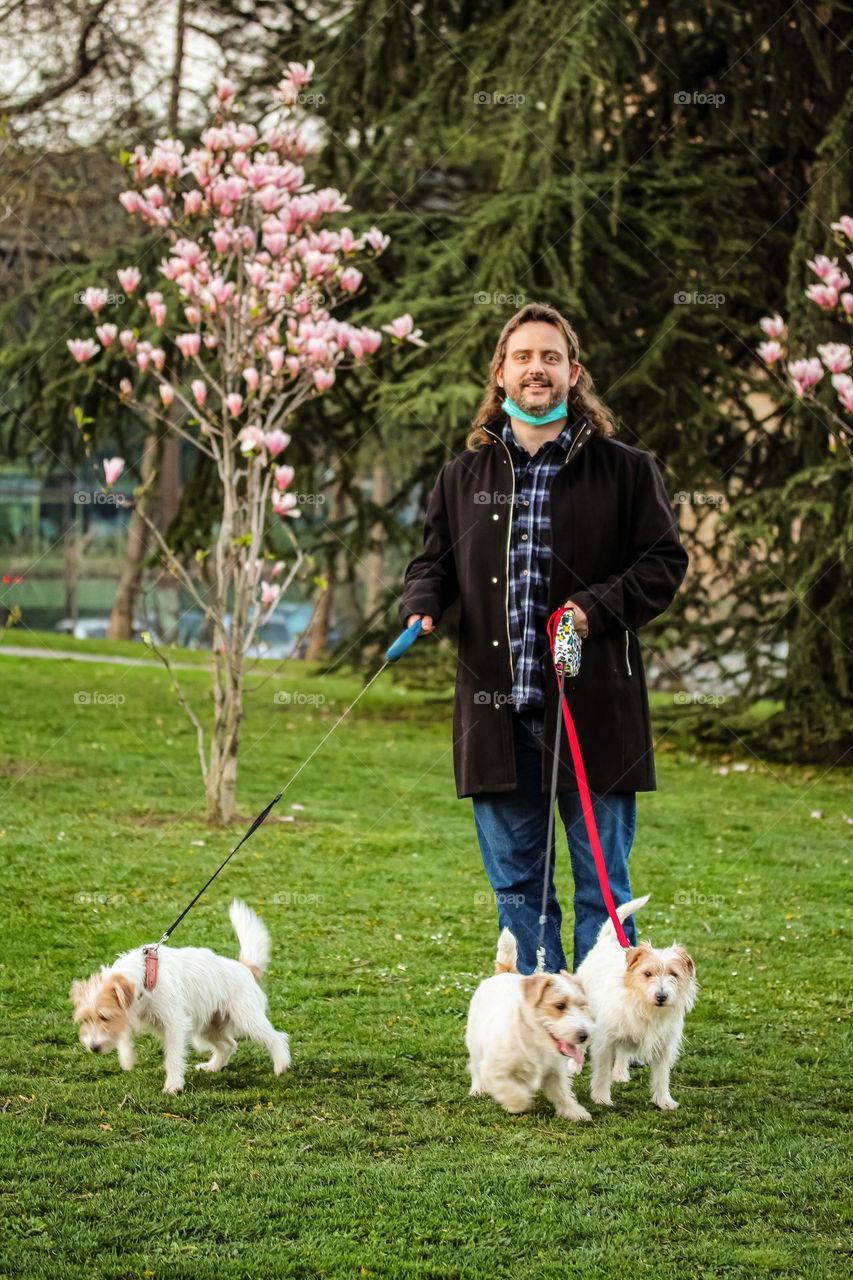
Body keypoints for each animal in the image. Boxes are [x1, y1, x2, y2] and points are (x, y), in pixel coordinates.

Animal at [69, 896, 289, 1095]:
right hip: (208, 1026)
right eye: (85, 1019)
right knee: (228, 1045)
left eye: (104, 1017)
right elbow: (124, 1035)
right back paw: (212, 1067)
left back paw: (281, 1066)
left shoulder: (174, 1024)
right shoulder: (131, 1014)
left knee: (276, 1037)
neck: (145, 977)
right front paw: (127, 1059)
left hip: (247, 1018)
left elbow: (173, 1057)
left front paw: (173, 1086)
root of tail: (245, 967)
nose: (93, 1048)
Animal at [466, 931, 591, 1121]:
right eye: (560, 1006)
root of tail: (504, 972)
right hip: (474, 1043)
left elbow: (562, 1092)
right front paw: (518, 1103)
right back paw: (478, 1088)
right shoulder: (495, 1069)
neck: (533, 1040)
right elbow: (512, 1090)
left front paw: (573, 1111)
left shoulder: (555, 1070)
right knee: (475, 1066)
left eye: (582, 1006)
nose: (584, 1036)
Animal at [571, 890, 696, 1111]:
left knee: (623, 1052)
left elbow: (661, 1076)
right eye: (647, 973)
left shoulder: (664, 1046)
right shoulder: (604, 1041)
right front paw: (601, 1098)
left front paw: (664, 1101)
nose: (661, 996)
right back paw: (574, 1066)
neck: (645, 1007)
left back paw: (620, 1073)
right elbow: (601, 1072)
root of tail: (608, 941)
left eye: (674, 974)